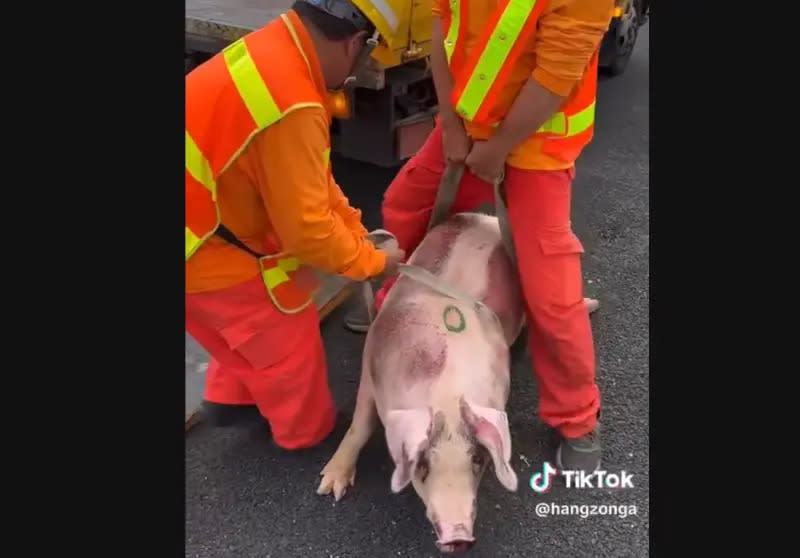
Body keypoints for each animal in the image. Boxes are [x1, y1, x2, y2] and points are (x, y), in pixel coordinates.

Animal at [316, 213, 528, 556]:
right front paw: (329, 489)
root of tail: (485, 218)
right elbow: (360, 424)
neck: (445, 392)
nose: (458, 537)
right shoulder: (371, 362)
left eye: (477, 460)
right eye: (423, 464)